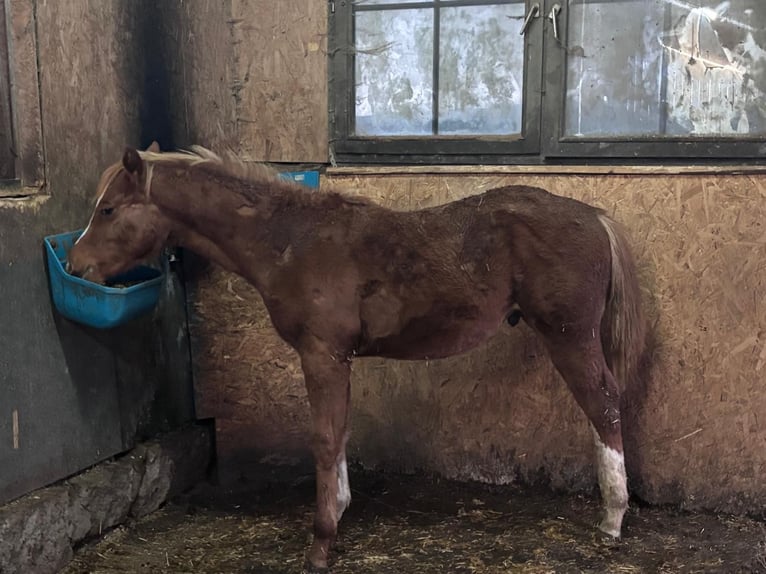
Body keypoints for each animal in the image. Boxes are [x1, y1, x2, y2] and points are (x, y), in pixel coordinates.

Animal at [67, 143, 646, 573]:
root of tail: (593, 215)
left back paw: (613, 519)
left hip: (569, 336)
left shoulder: (322, 355)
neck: (290, 241)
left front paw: (321, 545)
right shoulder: (336, 359)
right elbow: (340, 434)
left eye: (107, 210)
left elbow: (325, 440)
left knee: (605, 405)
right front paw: (340, 512)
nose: (75, 266)